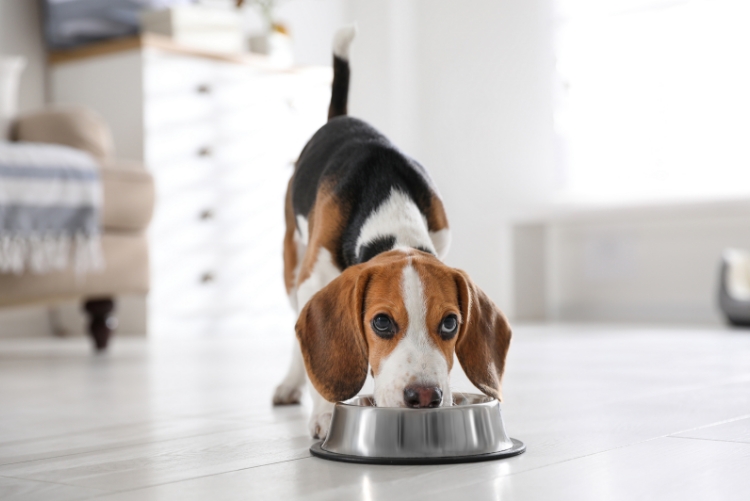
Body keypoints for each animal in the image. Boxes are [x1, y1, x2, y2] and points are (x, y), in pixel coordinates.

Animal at [274, 26, 516, 438]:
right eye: (382, 323)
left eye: (450, 323)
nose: (425, 396)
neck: (389, 205)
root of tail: (341, 117)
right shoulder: (313, 279)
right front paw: (325, 414)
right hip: (292, 264)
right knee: (296, 333)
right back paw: (291, 383)